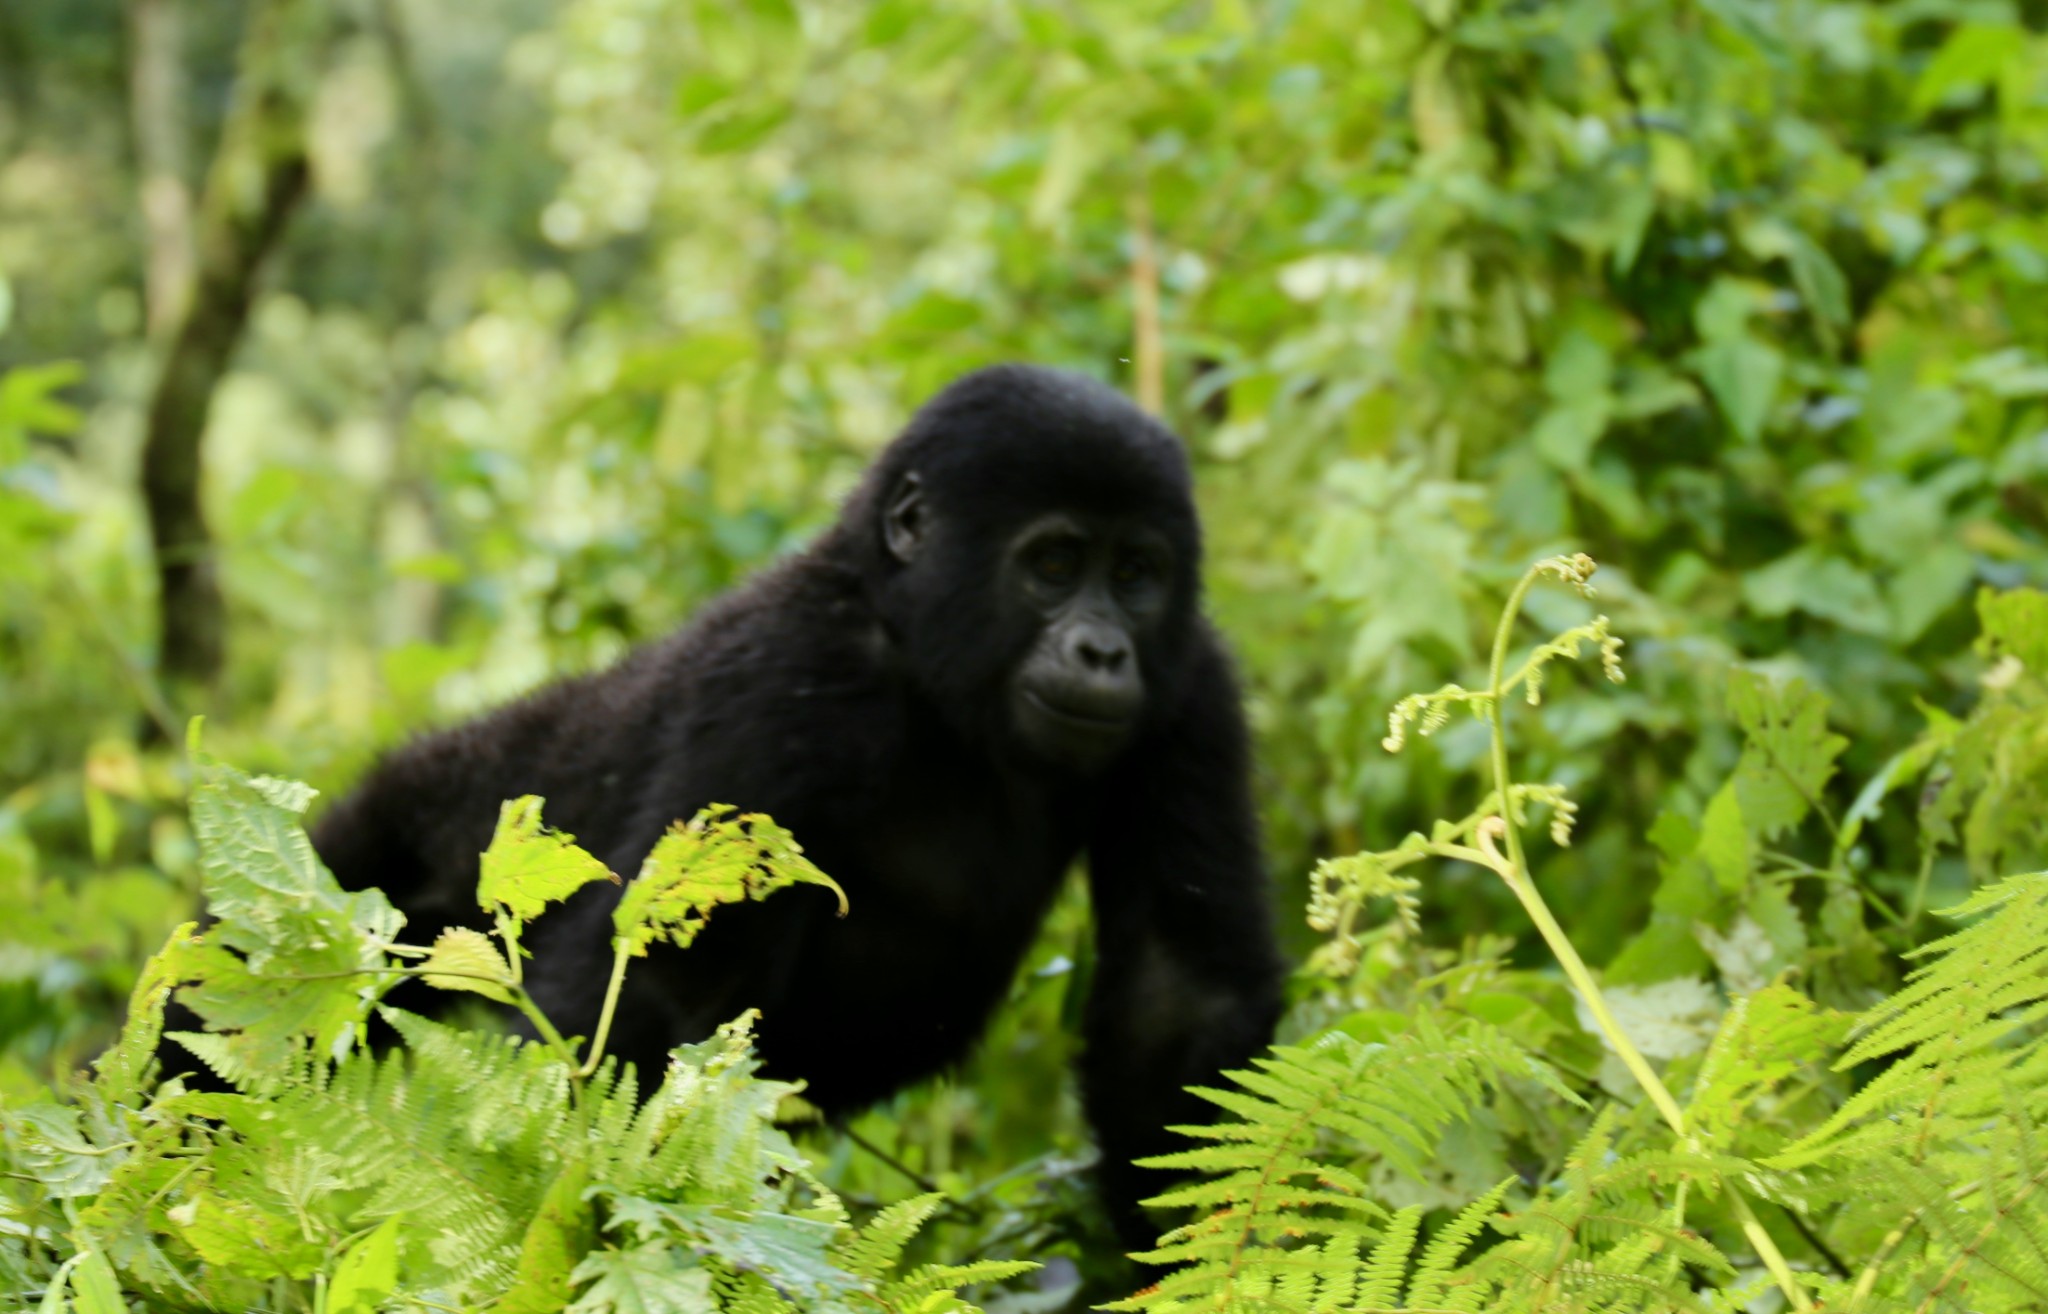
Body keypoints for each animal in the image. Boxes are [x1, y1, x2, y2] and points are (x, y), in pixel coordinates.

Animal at [313, 360, 1286, 1228]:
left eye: (1135, 574)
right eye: (1053, 564)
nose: (1103, 652)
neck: (914, 637)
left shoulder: (1193, 684)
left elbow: (1178, 998)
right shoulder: (790, 667)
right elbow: (652, 998)